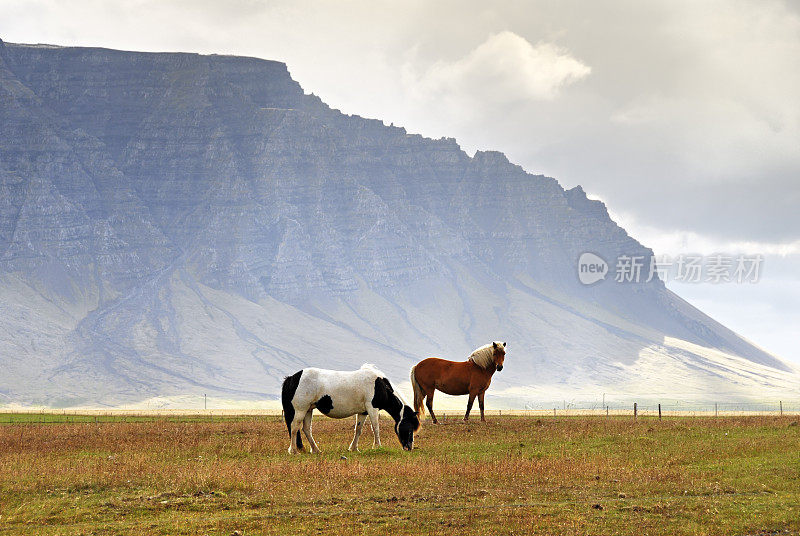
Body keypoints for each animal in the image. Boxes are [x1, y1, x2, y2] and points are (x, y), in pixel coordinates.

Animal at [280, 362, 418, 454]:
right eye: (410, 427)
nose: (409, 447)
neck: (379, 385)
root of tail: (292, 378)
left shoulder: (363, 412)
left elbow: (358, 429)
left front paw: (354, 448)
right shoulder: (372, 408)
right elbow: (376, 428)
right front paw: (378, 447)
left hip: (309, 410)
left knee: (306, 429)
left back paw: (315, 450)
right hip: (301, 410)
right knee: (294, 427)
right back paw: (293, 451)